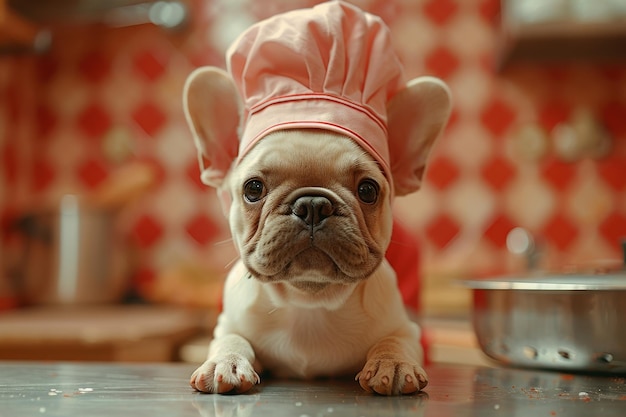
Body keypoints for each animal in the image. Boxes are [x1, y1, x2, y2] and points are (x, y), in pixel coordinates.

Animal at [180, 1, 448, 394]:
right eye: (253, 189)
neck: (309, 302)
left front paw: (393, 364)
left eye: (368, 190)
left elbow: (395, 340)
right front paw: (224, 362)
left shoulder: (406, 328)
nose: (311, 205)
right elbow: (232, 338)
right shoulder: (226, 324)